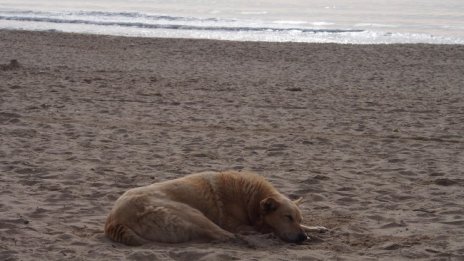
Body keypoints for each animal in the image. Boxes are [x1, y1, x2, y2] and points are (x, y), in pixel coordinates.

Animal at [106, 170, 326, 245]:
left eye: (297, 218)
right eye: (287, 217)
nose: (302, 238)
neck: (251, 201)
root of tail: (113, 220)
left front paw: (315, 228)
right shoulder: (239, 224)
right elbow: (253, 229)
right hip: (192, 213)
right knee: (227, 236)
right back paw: (261, 239)